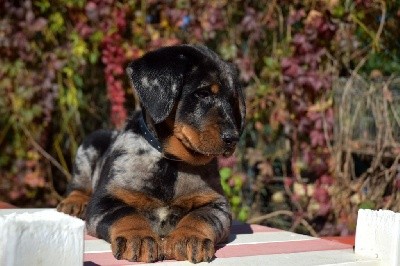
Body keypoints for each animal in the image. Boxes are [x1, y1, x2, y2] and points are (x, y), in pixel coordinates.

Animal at [55, 44, 244, 262]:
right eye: (203, 94)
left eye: (233, 101)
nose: (233, 138)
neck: (171, 161)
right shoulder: (104, 200)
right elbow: (125, 214)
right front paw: (139, 237)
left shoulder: (216, 203)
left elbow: (200, 216)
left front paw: (189, 237)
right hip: (90, 144)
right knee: (78, 185)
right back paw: (74, 203)